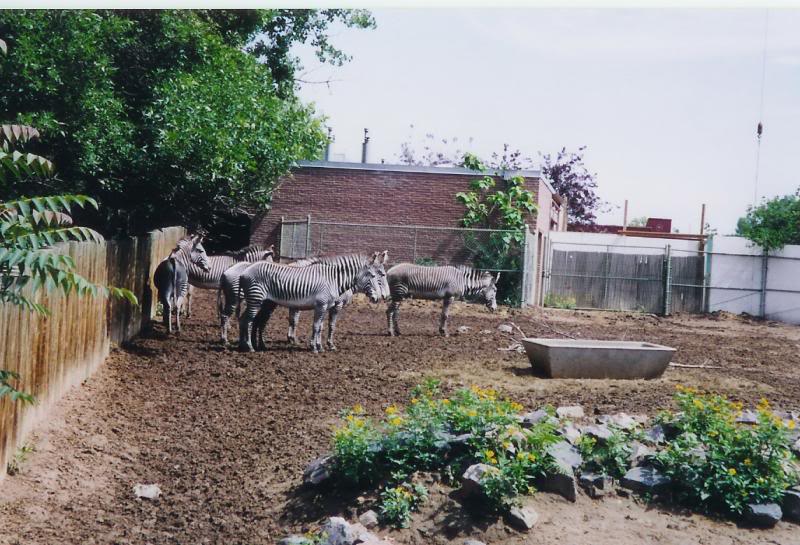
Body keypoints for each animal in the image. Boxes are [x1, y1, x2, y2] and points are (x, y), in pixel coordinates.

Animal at [238, 252, 387, 353]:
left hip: (262, 301)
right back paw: (250, 347)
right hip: (256, 298)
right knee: (248, 320)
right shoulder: (322, 305)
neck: (333, 280)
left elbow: (321, 327)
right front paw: (315, 347)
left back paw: (249, 345)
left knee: (249, 319)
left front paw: (320, 347)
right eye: (374, 276)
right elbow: (318, 326)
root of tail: (244, 271)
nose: (378, 298)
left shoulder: (326, 306)